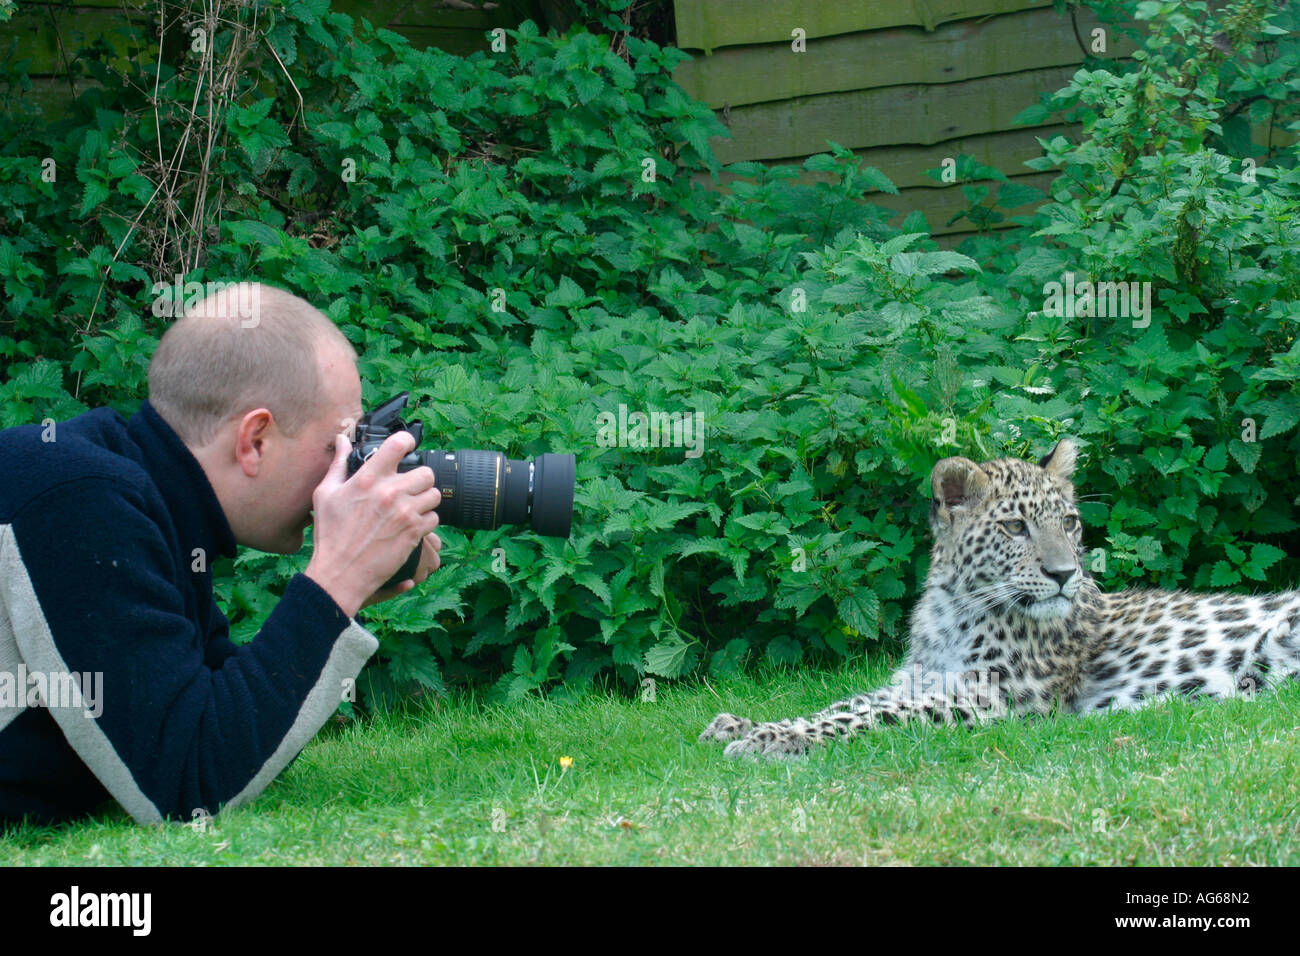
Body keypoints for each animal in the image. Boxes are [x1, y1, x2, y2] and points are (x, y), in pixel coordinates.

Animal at [699, 438, 1300, 757]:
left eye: (1069, 523)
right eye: (1014, 527)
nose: (1064, 574)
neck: (954, 610)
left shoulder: (992, 698)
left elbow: (874, 717)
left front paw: (768, 740)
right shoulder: (920, 678)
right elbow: (849, 703)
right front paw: (743, 724)